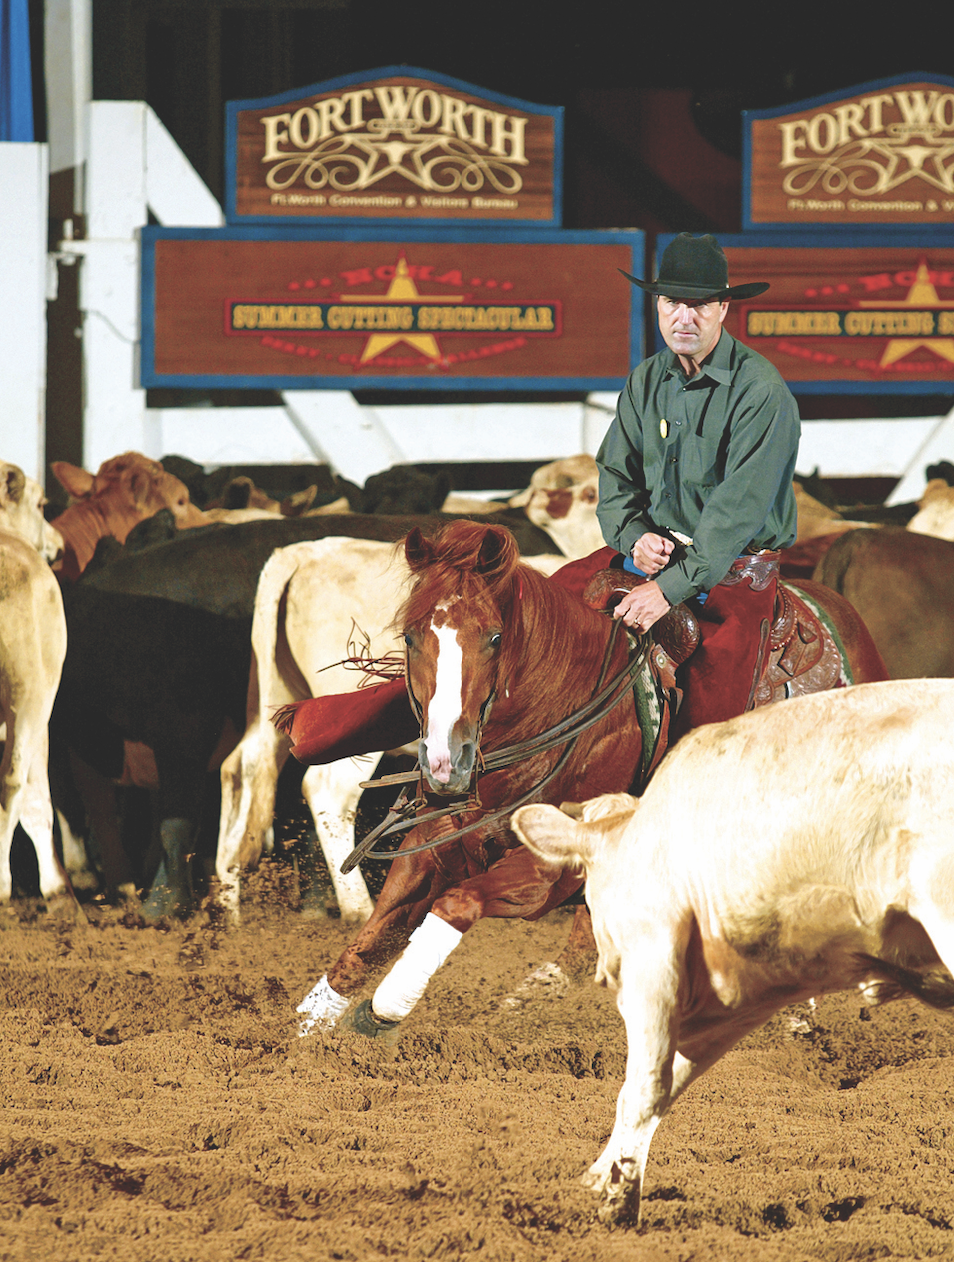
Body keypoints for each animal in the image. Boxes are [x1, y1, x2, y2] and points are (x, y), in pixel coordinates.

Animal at [297, 517, 888, 1039]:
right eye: (411, 636)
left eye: (493, 637)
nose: (446, 761)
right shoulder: (432, 845)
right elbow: (370, 940)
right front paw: (302, 1033)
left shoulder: (545, 872)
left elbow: (456, 904)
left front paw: (383, 1009)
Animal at [509, 681, 953, 1231]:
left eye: (590, 889)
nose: (604, 970)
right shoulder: (748, 990)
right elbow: (662, 1083)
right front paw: (597, 1175)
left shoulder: (653, 955)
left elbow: (644, 1087)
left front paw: (618, 1205)